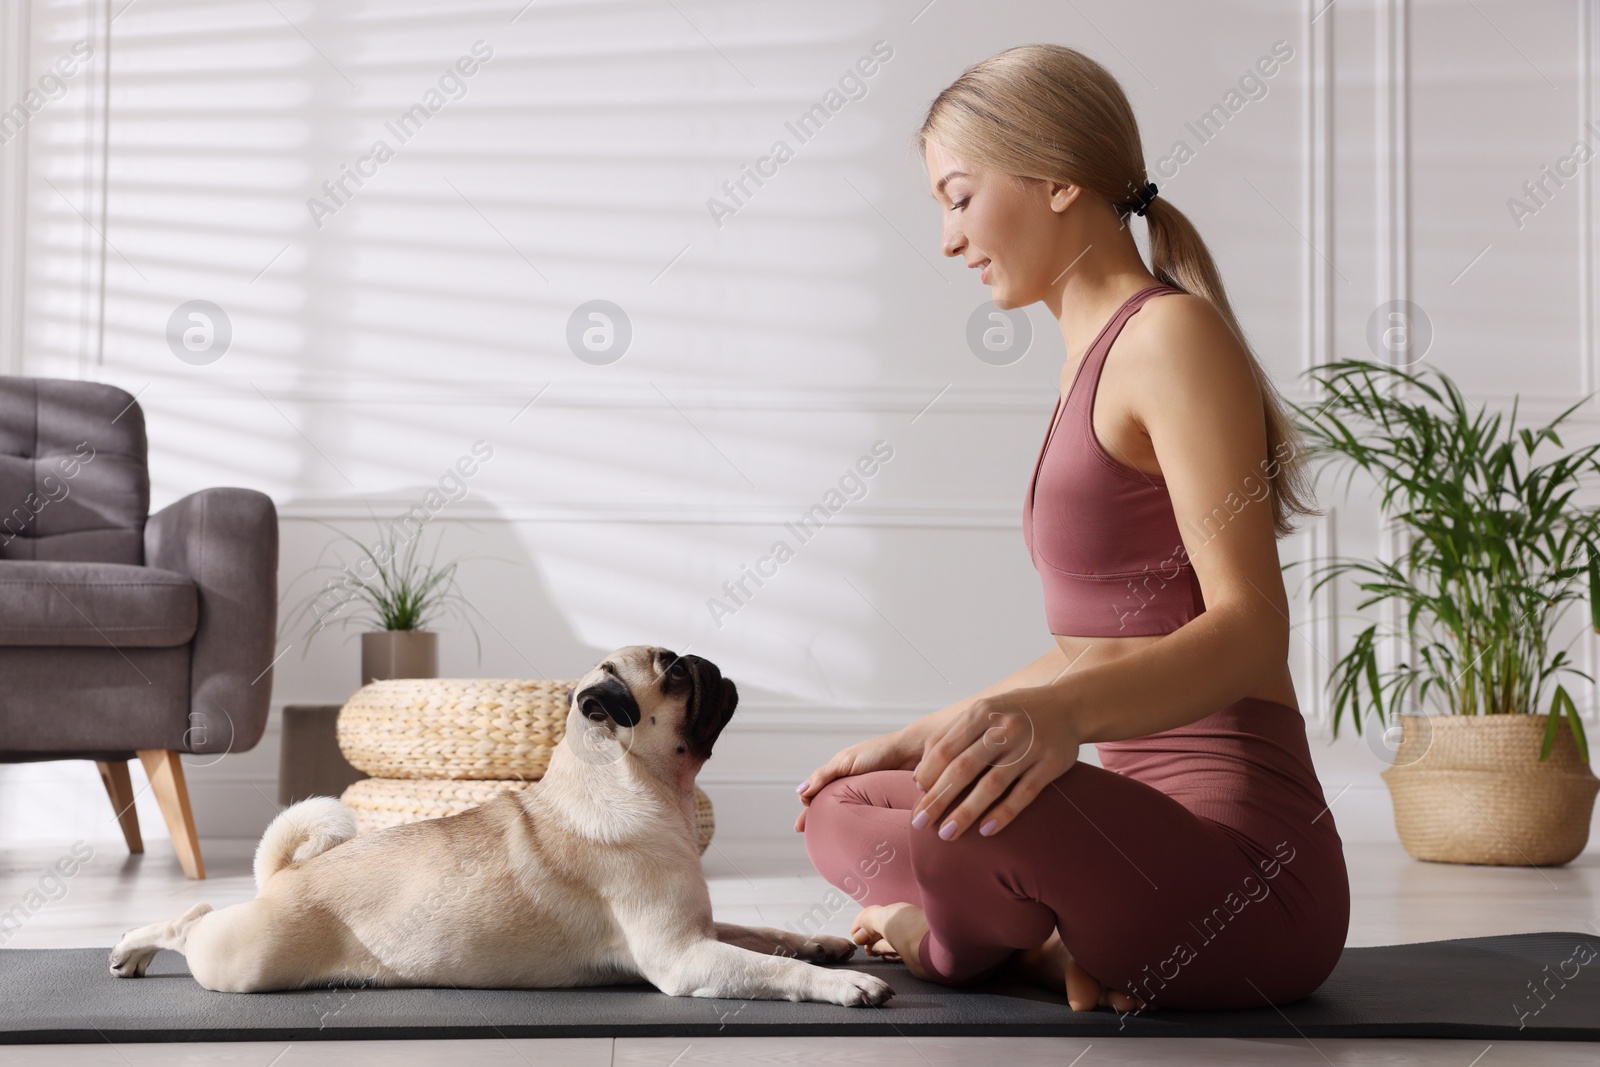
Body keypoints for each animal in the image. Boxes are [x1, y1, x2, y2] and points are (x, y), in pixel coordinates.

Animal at [108, 646, 896, 1004]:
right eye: (674, 673)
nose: (707, 661)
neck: (645, 790)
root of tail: (290, 873)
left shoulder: (701, 928)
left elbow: (763, 933)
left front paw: (826, 944)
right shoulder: (682, 956)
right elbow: (769, 965)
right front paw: (841, 985)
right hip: (243, 961)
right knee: (189, 920)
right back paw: (131, 947)